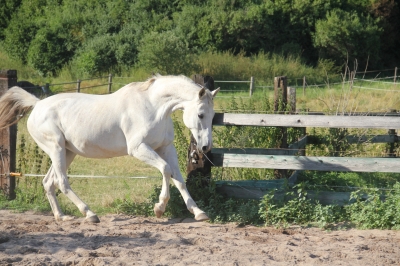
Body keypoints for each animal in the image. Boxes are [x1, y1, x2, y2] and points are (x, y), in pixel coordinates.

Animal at [0, 74, 219, 222]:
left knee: (48, 182)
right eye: (200, 114)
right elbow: (165, 170)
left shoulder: (166, 148)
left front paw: (198, 212)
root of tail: (37, 105)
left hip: (67, 152)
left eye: (212, 115)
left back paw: (61, 217)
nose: (205, 147)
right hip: (56, 149)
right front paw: (159, 207)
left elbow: (178, 179)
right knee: (62, 182)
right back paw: (90, 214)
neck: (154, 107)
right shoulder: (138, 148)